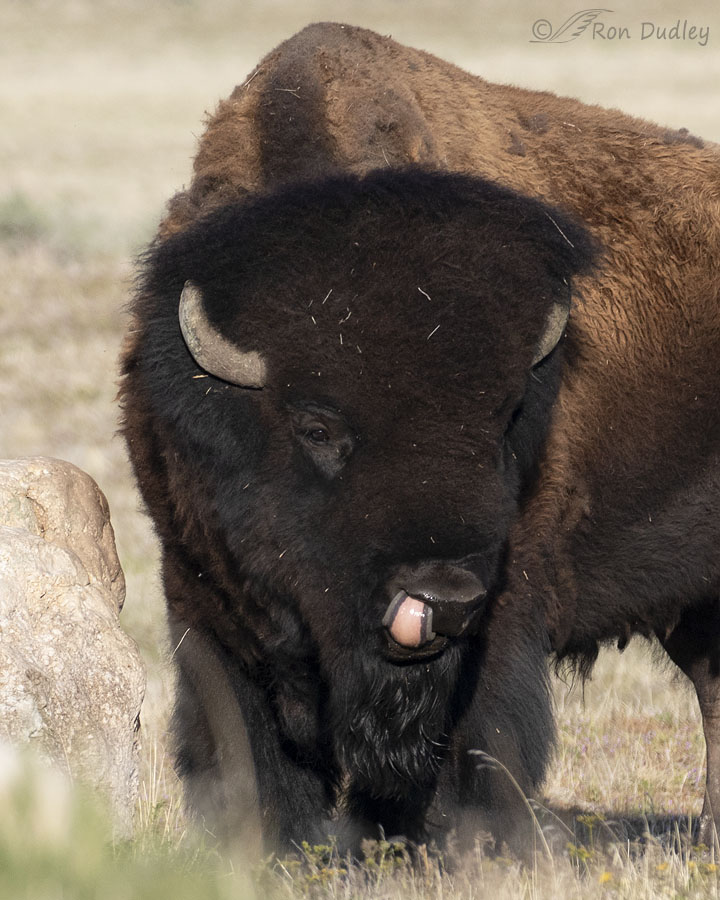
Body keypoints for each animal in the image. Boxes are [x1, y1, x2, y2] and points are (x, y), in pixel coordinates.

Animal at [120, 23, 720, 855]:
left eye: (504, 417)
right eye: (317, 427)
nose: (443, 599)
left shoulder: (506, 612)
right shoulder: (200, 594)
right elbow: (248, 751)